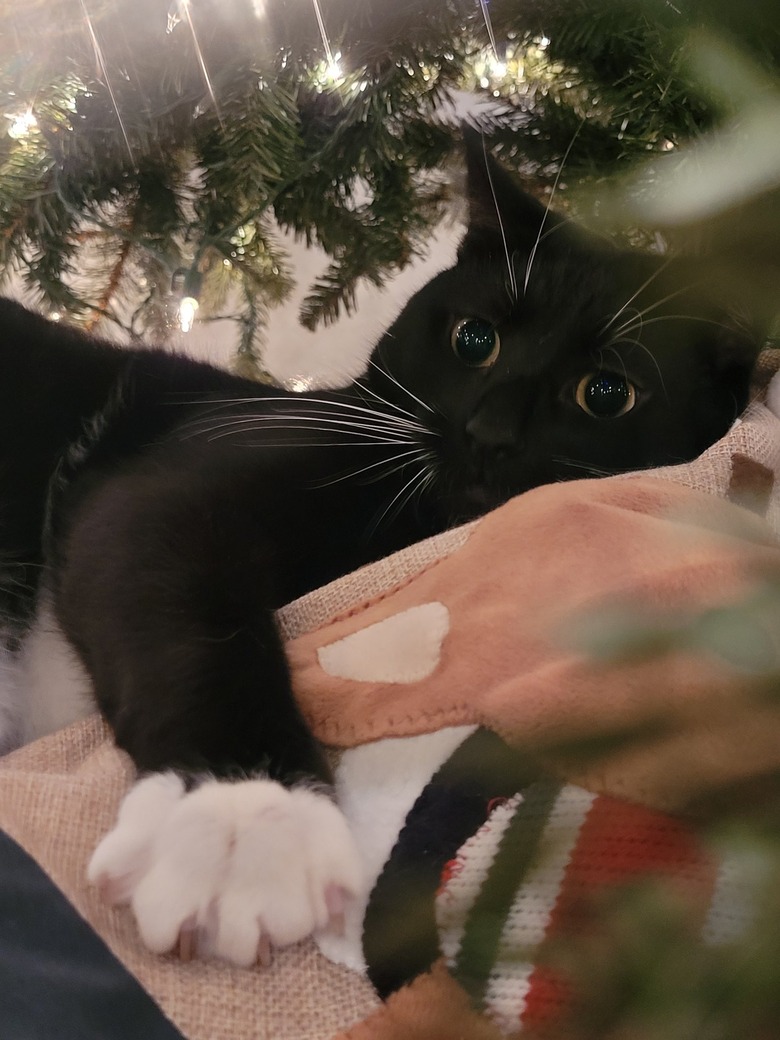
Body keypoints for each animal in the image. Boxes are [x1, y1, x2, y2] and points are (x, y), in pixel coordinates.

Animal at [0, 140, 765, 965]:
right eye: (474, 338)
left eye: (607, 394)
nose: (487, 434)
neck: (414, 520)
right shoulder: (161, 491)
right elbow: (191, 618)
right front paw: (243, 824)